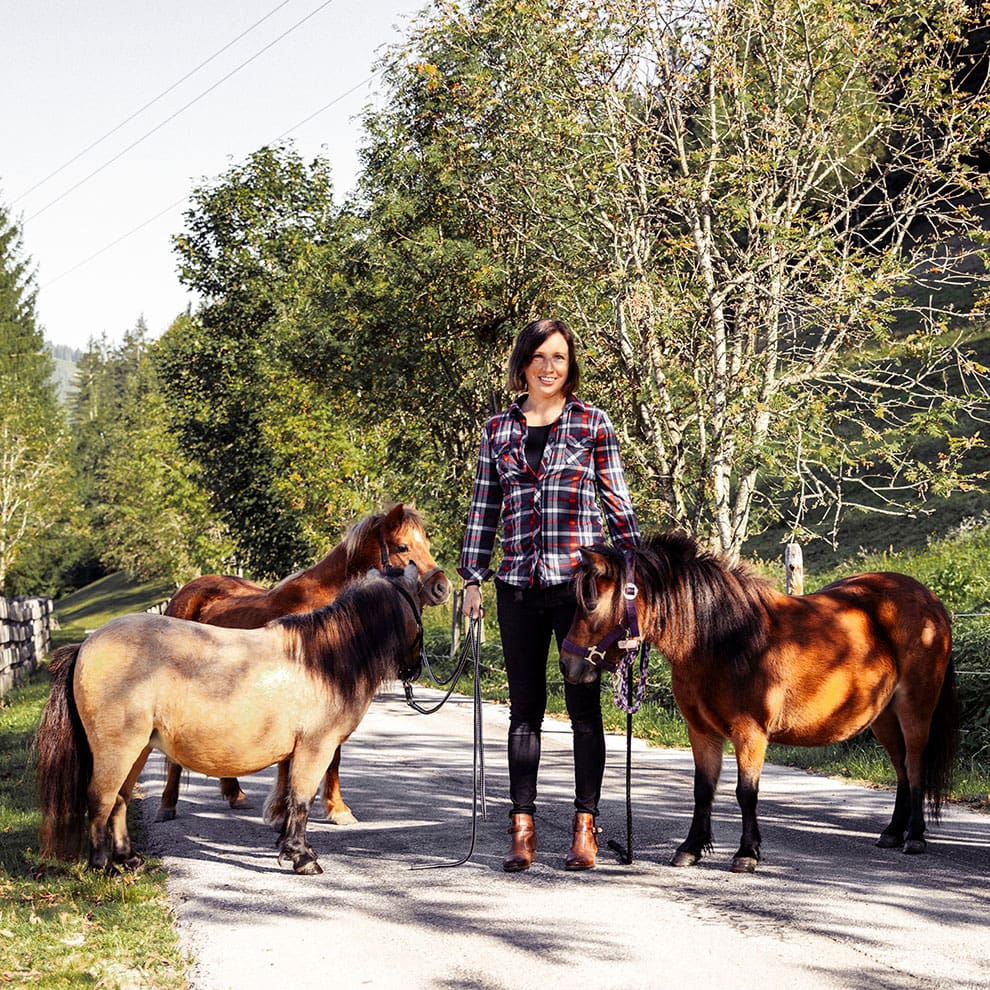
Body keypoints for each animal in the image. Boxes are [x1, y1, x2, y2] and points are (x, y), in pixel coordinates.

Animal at [37, 564, 426, 876]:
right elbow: (302, 800)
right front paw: (302, 858)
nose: (416, 668)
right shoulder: (315, 748)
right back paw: (102, 865)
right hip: (117, 748)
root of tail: (86, 647)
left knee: (119, 798)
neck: (322, 661)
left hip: (138, 749)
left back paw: (129, 859)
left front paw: (289, 847)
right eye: (418, 605)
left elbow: (290, 798)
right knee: (100, 798)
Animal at [560, 536, 964, 876]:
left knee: (914, 765)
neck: (724, 639)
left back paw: (915, 837)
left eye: (591, 603)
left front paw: (747, 854)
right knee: (901, 769)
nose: (567, 665)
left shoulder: (750, 733)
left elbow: (745, 793)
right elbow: (703, 789)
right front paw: (690, 848)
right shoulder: (701, 731)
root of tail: (930, 601)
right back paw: (893, 832)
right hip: (883, 717)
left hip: (915, 710)